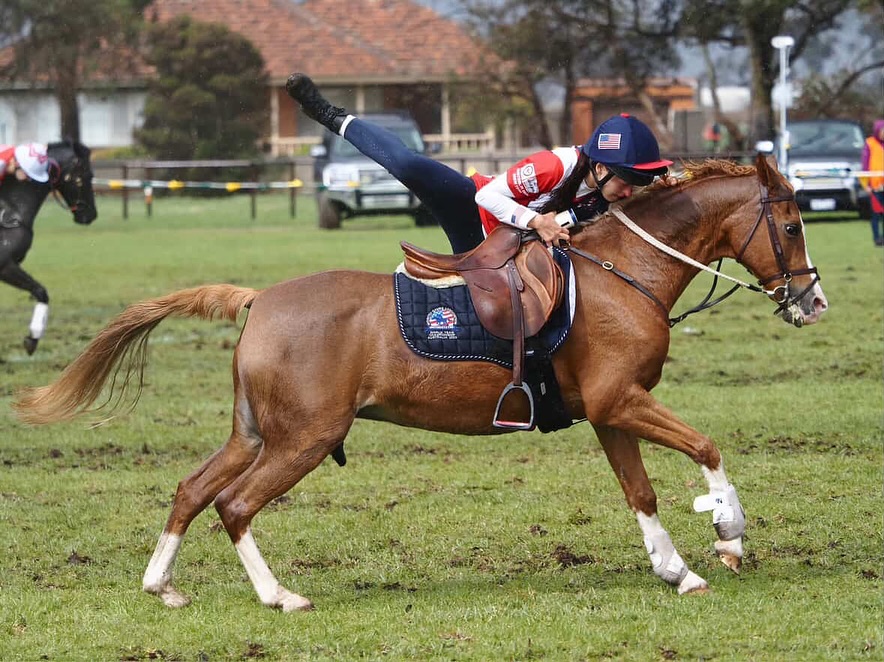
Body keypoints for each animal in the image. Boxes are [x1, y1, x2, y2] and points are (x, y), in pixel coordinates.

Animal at [0, 140, 97, 354]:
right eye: (87, 175)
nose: (91, 215)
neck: (10, 211)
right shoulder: (6, 266)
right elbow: (41, 291)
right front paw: (33, 337)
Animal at [13, 154, 827, 611]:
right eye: (790, 226)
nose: (812, 301)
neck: (623, 268)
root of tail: (260, 299)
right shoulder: (620, 400)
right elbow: (706, 447)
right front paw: (728, 534)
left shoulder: (607, 411)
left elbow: (643, 493)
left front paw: (677, 571)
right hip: (307, 436)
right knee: (236, 504)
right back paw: (280, 597)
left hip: (256, 431)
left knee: (192, 489)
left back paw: (162, 586)